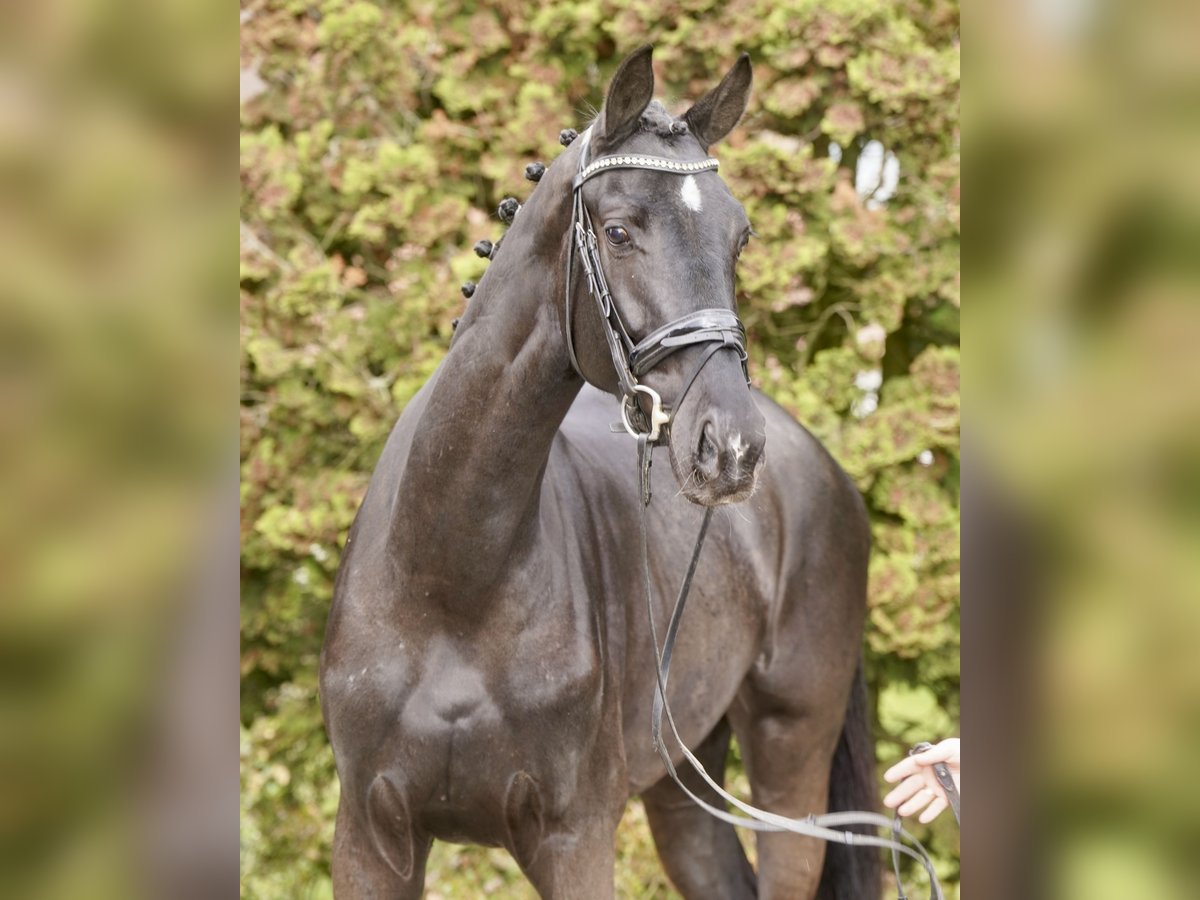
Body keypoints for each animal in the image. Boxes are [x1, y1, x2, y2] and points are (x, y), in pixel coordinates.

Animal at [324, 49, 878, 900]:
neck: (449, 582)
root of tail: (815, 461)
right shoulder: (370, 837)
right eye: (618, 231)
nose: (731, 448)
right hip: (685, 783)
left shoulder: (574, 837)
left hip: (791, 759)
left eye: (740, 238)